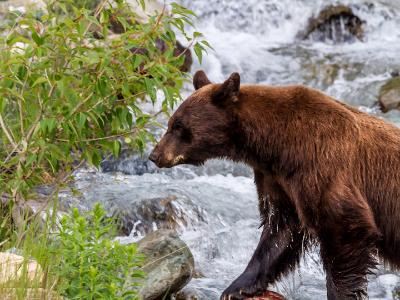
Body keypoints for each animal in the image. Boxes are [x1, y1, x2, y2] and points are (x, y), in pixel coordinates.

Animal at [148, 71, 400, 300]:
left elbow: (344, 226)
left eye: (178, 126)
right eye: (171, 122)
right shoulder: (277, 180)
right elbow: (281, 231)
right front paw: (237, 287)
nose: (155, 155)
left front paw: (341, 292)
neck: (276, 146)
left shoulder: (322, 166)